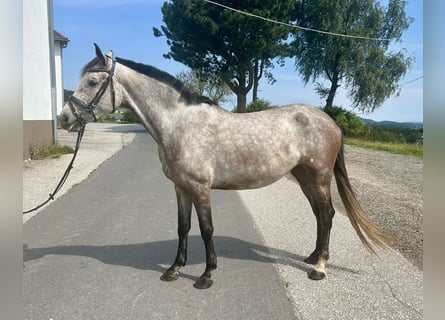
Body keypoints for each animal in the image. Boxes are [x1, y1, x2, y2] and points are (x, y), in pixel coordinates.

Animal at [59, 43, 388, 288]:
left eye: (92, 81)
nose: (64, 118)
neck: (180, 124)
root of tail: (330, 121)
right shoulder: (180, 187)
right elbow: (182, 227)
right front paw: (174, 269)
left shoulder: (200, 187)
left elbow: (206, 229)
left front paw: (206, 275)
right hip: (304, 177)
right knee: (320, 215)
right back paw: (312, 257)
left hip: (319, 177)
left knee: (328, 215)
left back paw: (319, 267)